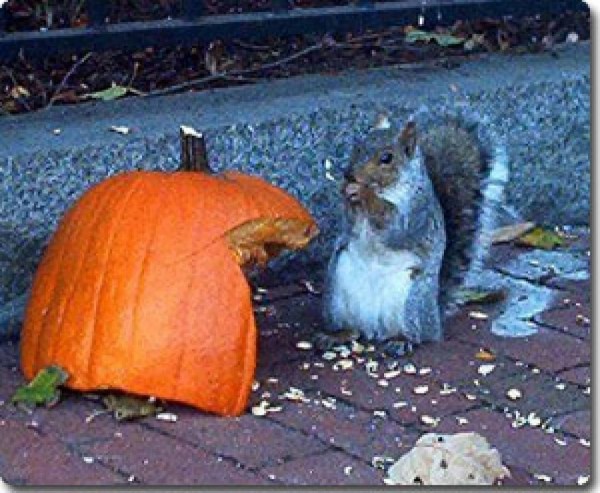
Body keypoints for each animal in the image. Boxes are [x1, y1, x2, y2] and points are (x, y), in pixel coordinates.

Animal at [322, 111, 508, 354]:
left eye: (387, 158)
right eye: (357, 146)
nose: (348, 174)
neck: (388, 189)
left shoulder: (417, 213)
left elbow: (396, 228)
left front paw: (363, 193)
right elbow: (350, 225)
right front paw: (345, 191)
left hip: (411, 301)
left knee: (417, 335)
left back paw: (401, 340)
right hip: (337, 293)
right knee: (353, 328)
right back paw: (338, 334)